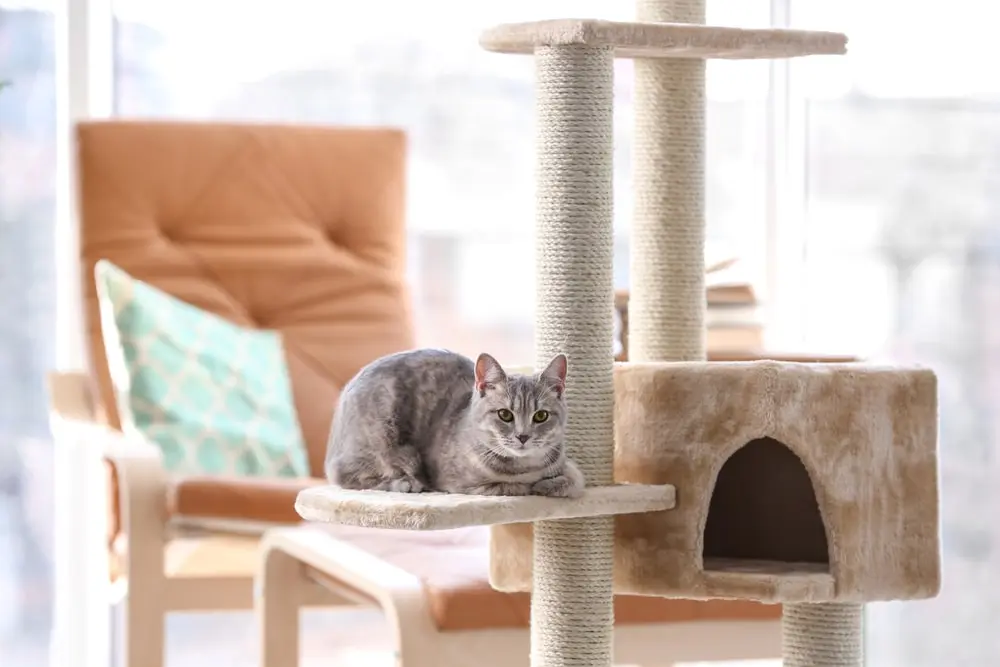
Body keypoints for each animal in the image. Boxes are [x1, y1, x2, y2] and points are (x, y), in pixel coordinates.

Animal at [324, 350, 584, 496]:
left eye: (540, 416)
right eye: (505, 414)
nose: (523, 436)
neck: (526, 466)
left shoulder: (567, 465)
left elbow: (576, 480)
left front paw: (552, 485)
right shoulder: (456, 481)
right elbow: (510, 487)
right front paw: (534, 486)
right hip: (384, 443)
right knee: (347, 476)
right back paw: (405, 483)